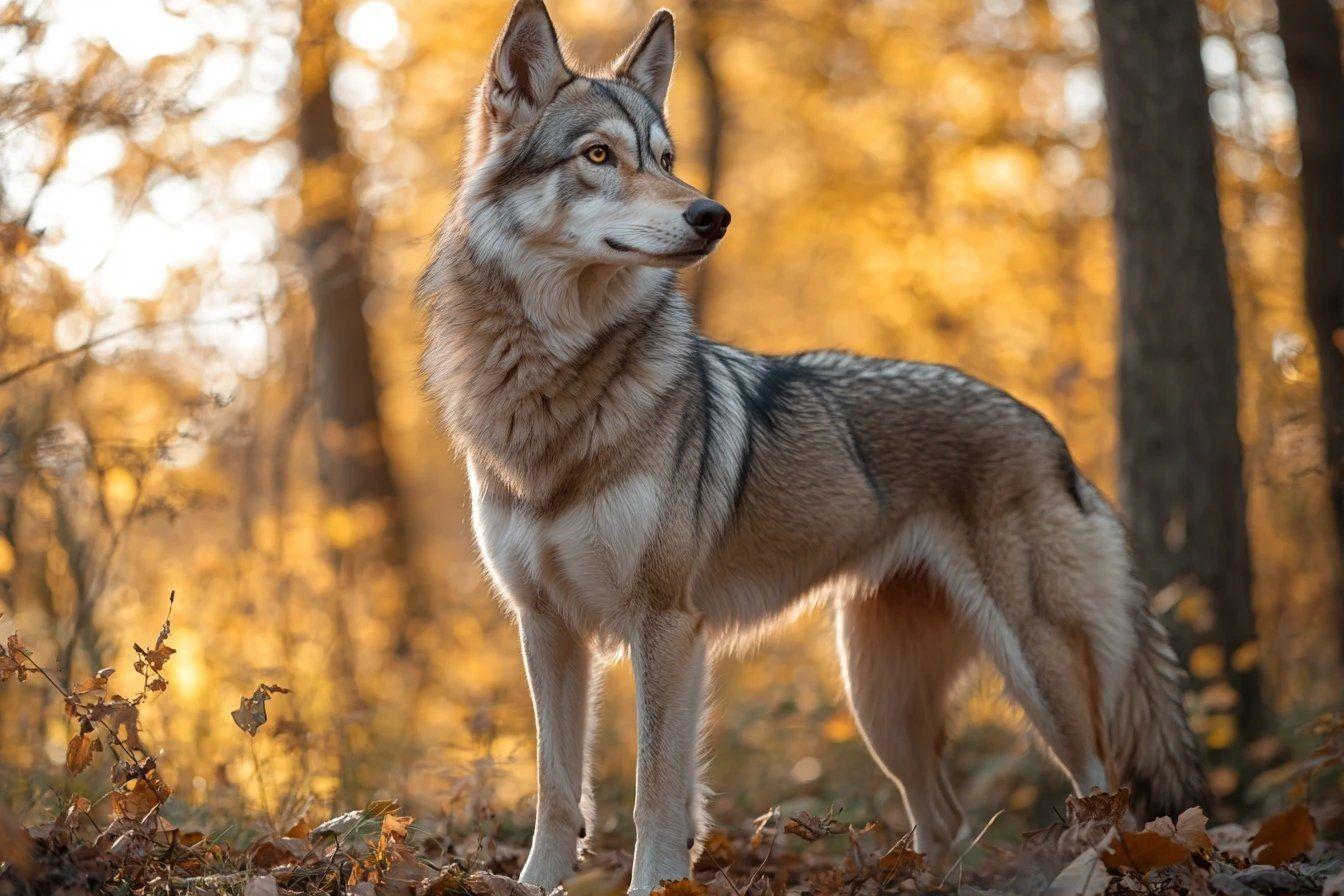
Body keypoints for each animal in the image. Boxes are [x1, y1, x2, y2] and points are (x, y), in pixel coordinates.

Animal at [417, 2, 1208, 892]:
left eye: (666, 160)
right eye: (597, 156)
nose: (712, 215)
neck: (555, 384)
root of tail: (1055, 438)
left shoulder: (666, 625)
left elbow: (655, 792)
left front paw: (655, 881)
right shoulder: (547, 625)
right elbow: (558, 788)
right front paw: (537, 884)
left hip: (1033, 672)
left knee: (1104, 797)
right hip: (879, 699)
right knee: (945, 816)